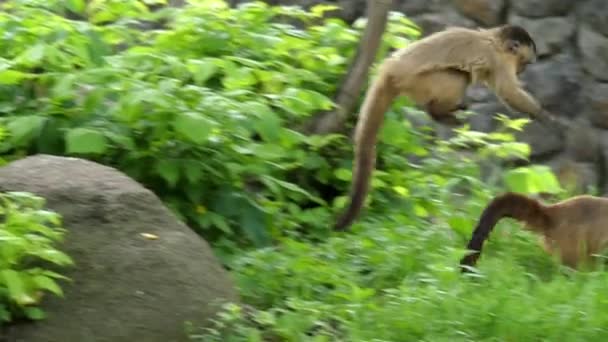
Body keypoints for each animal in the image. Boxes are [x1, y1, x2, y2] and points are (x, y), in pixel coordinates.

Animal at [332, 24, 560, 232]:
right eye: (524, 63)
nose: (521, 71)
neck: (493, 40)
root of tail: (390, 68)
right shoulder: (499, 60)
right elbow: (509, 91)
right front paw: (543, 116)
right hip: (418, 81)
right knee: (458, 76)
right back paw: (439, 113)